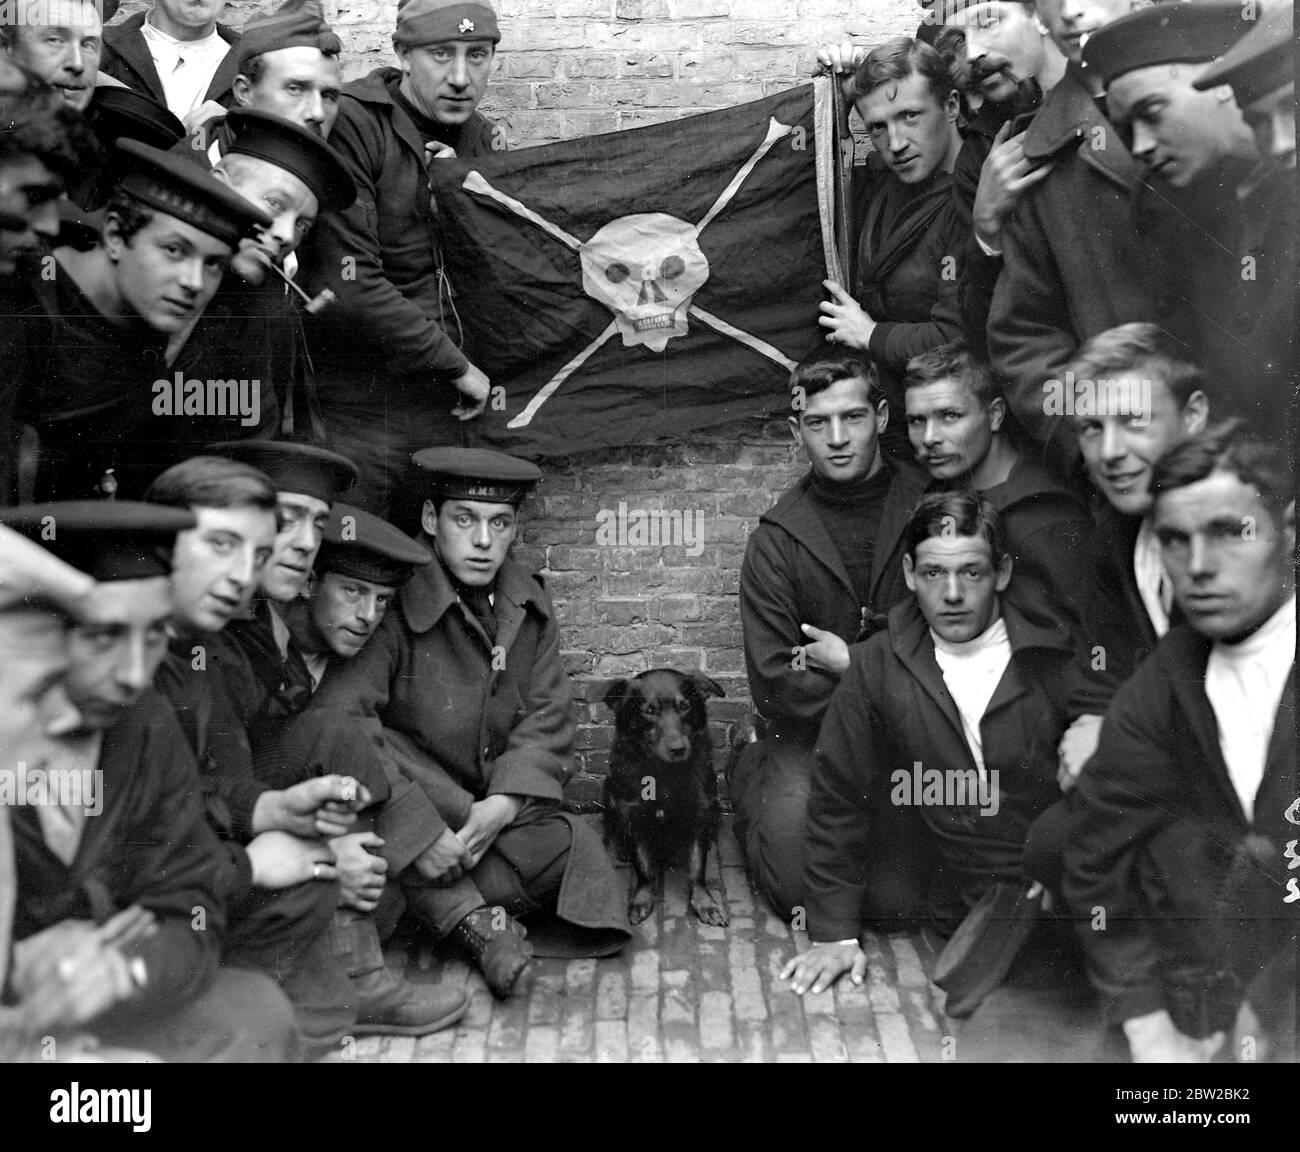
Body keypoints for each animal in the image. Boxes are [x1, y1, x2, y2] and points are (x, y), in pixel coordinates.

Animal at [600, 665, 728, 930]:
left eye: (685, 707)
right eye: (649, 711)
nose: (678, 749)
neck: (664, 774)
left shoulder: (699, 814)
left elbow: (697, 867)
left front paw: (704, 903)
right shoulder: (634, 815)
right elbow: (644, 867)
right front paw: (642, 898)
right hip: (610, 792)